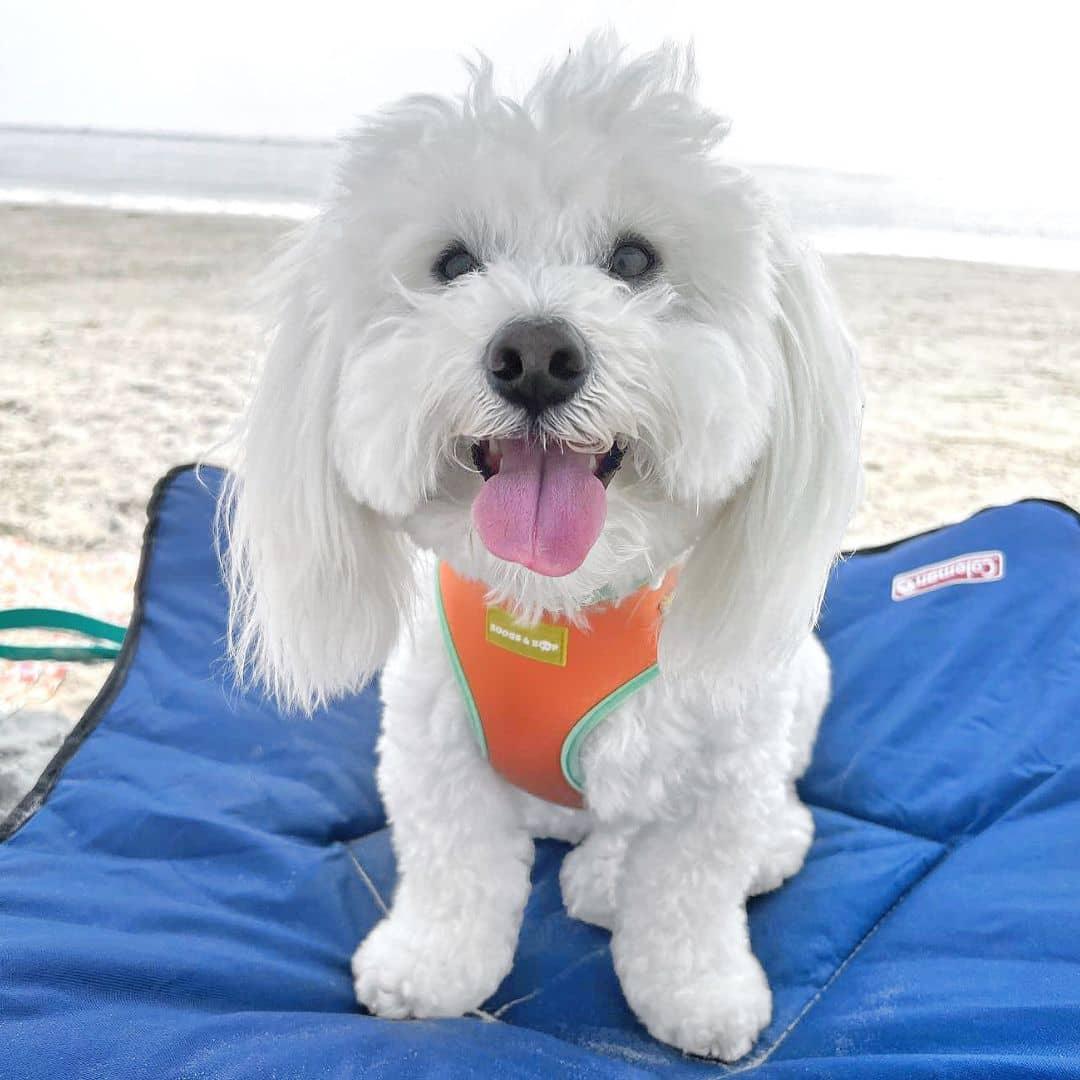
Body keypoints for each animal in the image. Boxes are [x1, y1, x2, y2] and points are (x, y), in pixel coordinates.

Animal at [223, 35, 864, 1062]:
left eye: (636, 259)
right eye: (452, 264)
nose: (533, 355)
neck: (558, 606)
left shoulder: (720, 771)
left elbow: (690, 897)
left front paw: (698, 992)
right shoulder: (435, 749)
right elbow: (452, 874)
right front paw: (429, 968)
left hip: (793, 686)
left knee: (764, 818)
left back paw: (625, 873)